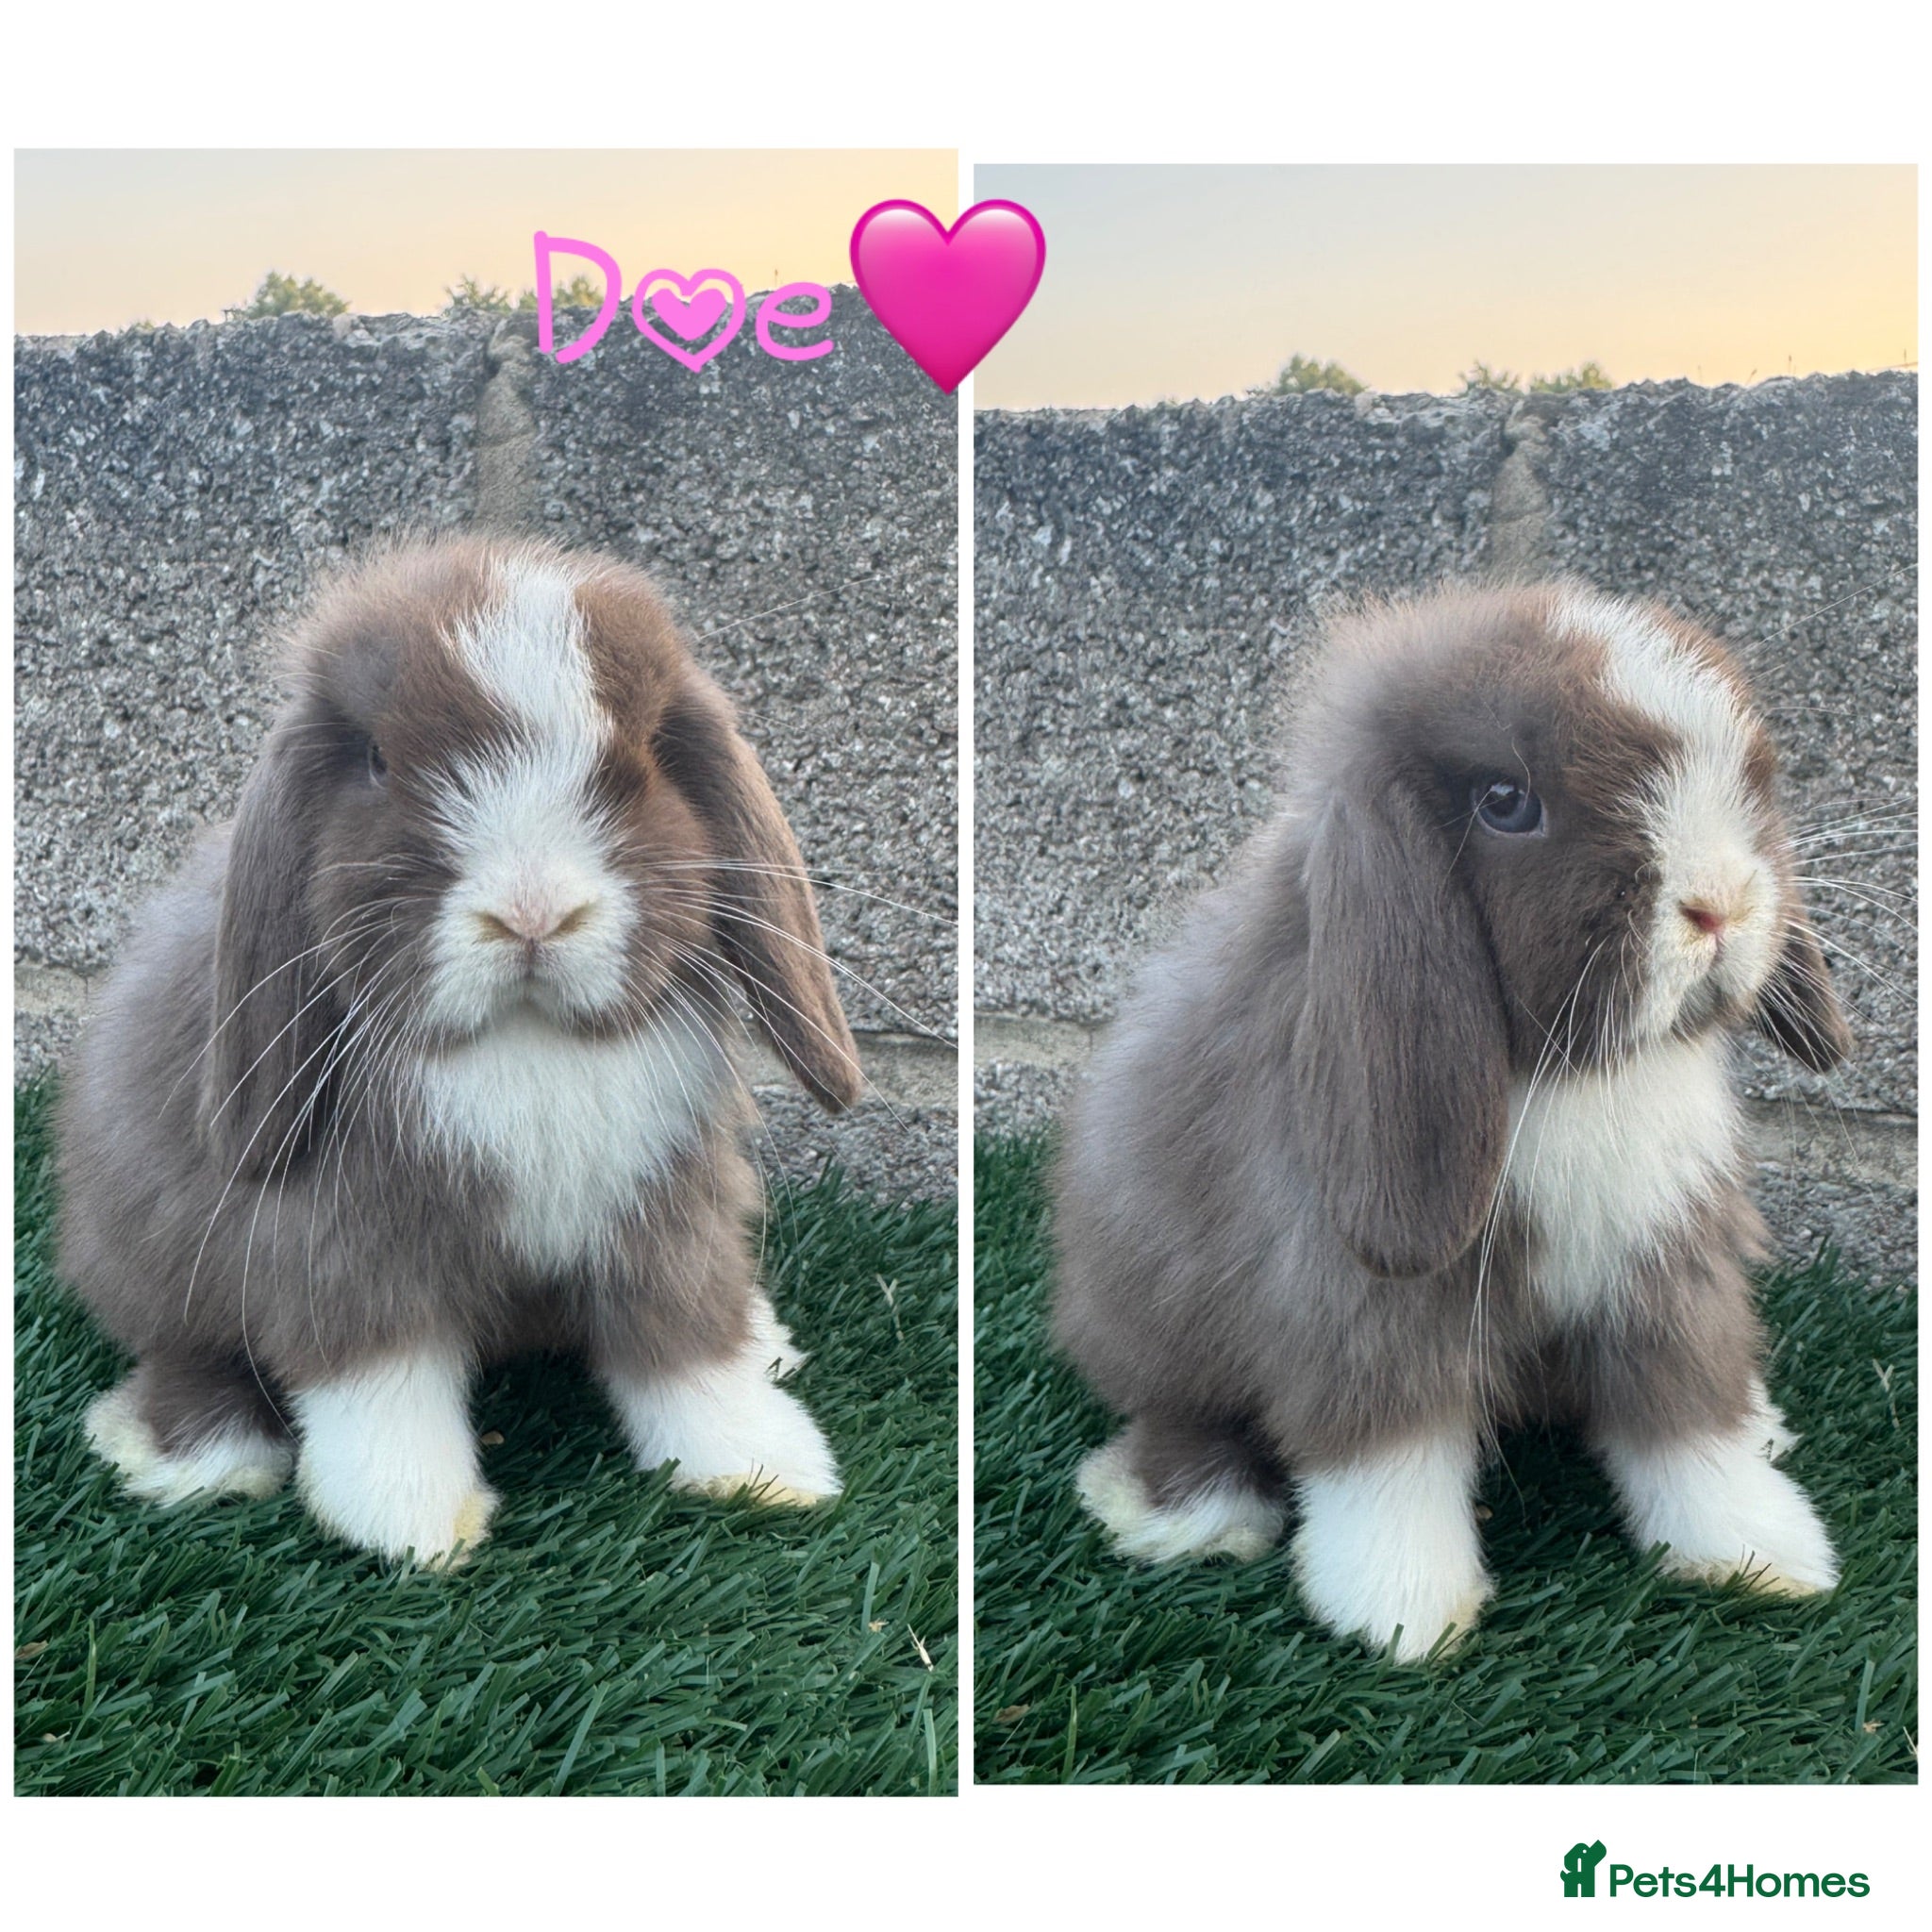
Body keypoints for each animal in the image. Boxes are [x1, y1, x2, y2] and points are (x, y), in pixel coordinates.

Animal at [56, 534, 865, 1565]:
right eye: (377, 760)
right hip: (154, 1261)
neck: (527, 1042)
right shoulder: (344, 1249)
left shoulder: (664, 1215)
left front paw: (763, 1470)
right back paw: (198, 1454)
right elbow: (381, 1384)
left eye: (644, 753)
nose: (532, 912)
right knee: (189, 1353)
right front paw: (413, 1524)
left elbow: (689, 1341)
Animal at [1053, 581, 1854, 1662]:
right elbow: (1387, 1457)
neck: (1571, 1077)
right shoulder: (1364, 1305)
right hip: (1157, 1322)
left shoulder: (1665, 1271)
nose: (1719, 901)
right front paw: (1405, 1612)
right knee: (1184, 1415)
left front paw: (1762, 1554)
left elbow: (1691, 1422)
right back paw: (1184, 1513)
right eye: (1505, 801)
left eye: (1745, 772)